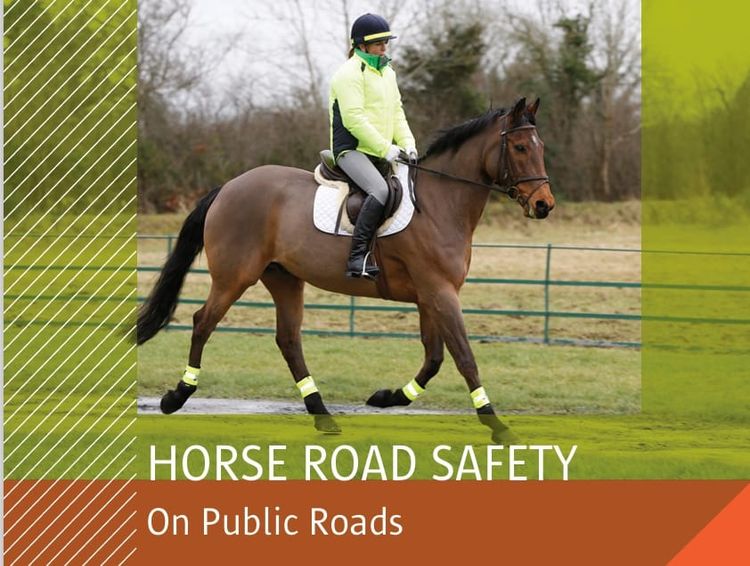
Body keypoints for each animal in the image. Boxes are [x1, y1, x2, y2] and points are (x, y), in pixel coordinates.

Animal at [137, 97, 555, 443]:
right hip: (234, 277)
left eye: (541, 148)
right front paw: (496, 423)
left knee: (288, 340)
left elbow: (434, 357)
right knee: (202, 322)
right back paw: (177, 396)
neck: (439, 203)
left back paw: (321, 413)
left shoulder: (430, 296)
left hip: (284, 279)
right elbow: (464, 356)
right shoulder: (440, 292)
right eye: (520, 147)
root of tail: (227, 187)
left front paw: (389, 397)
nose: (544, 205)